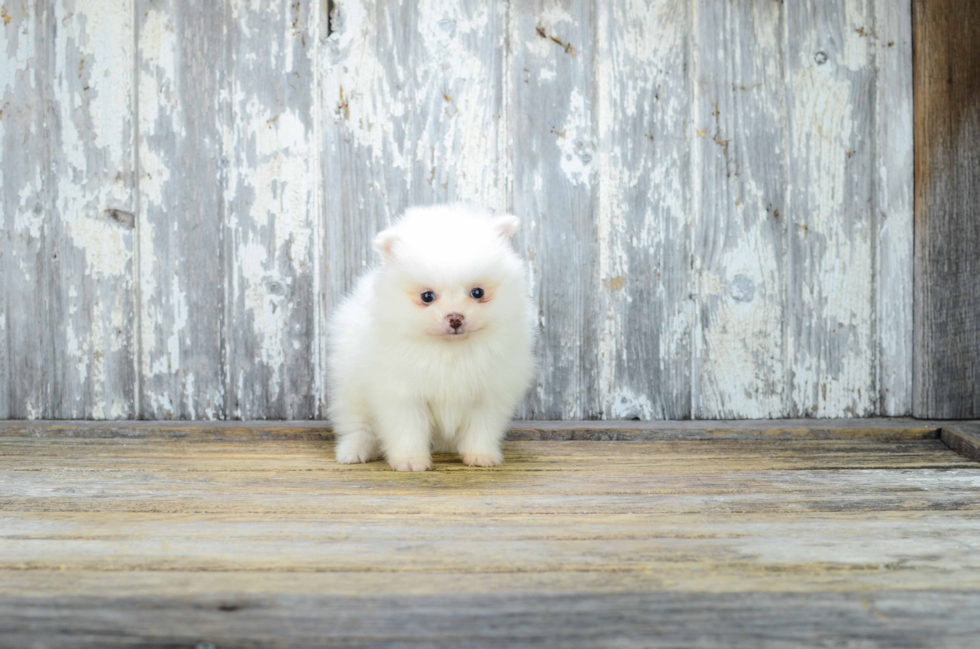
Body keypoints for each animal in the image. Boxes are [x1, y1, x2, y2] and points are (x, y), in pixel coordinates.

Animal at [326, 204, 532, 470]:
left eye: (478, 292)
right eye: (427, 296)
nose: (455, 318)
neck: (449, 350)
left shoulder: (488, 395)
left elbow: (480, 429)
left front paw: (481, 457)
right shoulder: (402, 395)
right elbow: (408, 430)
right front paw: (411, 461)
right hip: (351, 390)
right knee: (358, 425)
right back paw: (354, 452)